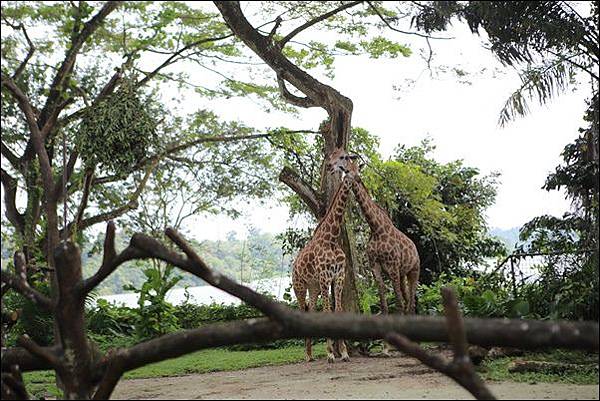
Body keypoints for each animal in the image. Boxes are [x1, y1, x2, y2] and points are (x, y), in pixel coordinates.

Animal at [290, 162, 356, 362]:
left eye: (358, 168)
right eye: (348, 171)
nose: (357, 180)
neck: (332, 239)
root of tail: (293, 266)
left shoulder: (338, 276)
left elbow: (339, 311)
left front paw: (343, 352)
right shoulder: (325, 277)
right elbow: (327, 312)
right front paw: (330, 354)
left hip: (314, 287)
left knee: (311, 311)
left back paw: (310, 354)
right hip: (300, 286)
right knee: (303, 310)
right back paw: (307, 355)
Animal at [326, 148, 420, 352]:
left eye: (344, 157)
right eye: (331, 155)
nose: (329, 166)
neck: (376, 228)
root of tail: (415, 248)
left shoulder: (392, 267)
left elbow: (397, 302)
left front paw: (393, 346)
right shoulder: (376, 267)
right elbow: (384, 304)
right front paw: (385, 347)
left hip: (413, 271)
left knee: (411, 300)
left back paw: (414, 341)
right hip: (402, 274)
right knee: (408, 300)